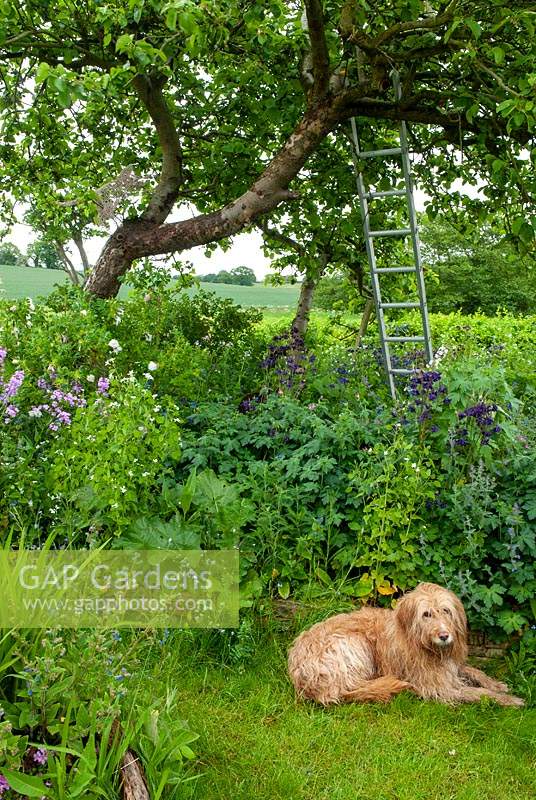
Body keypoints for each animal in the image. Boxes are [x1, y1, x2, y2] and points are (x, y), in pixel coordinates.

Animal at [288, 580, 524, 708]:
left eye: (446, 611)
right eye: (426, 614)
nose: (444, 636)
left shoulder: (452, 665)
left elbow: (475, 671)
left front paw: (498, 685)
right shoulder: (439, 687)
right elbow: (478, 693)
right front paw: (510, 700)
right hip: (354, 645)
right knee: (350, 689)